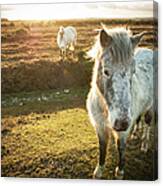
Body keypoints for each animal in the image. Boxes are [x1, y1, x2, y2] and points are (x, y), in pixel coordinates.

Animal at [86, 25, 157, 179]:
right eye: (106, 71)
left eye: (133, 71)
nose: (122, 123)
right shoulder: (100, 126)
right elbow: (102, 147)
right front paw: (99, 171)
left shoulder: (122, 132)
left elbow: (121, 147)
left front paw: (120, 172)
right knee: (138, 119)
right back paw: (135, 133)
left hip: (150, 107)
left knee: (148, 123)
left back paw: (144, 145)